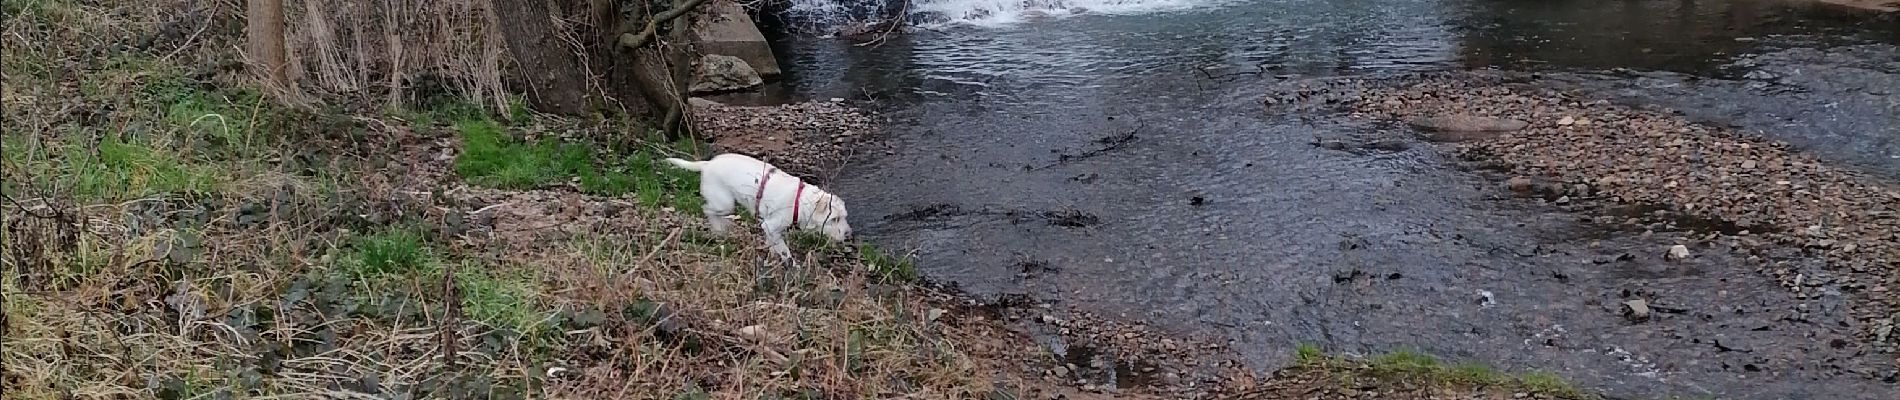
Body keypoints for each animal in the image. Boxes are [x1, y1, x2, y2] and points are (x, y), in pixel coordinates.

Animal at [665, 153, 851, 259]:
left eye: (844, 217)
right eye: (834, 219)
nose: (848, 234)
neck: (799, 200)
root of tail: (707, 164)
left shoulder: (773, 229)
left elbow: (774, 245)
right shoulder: (770, 225)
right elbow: (785, 251)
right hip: (724, 203)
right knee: (707, 210)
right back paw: (720, 228)